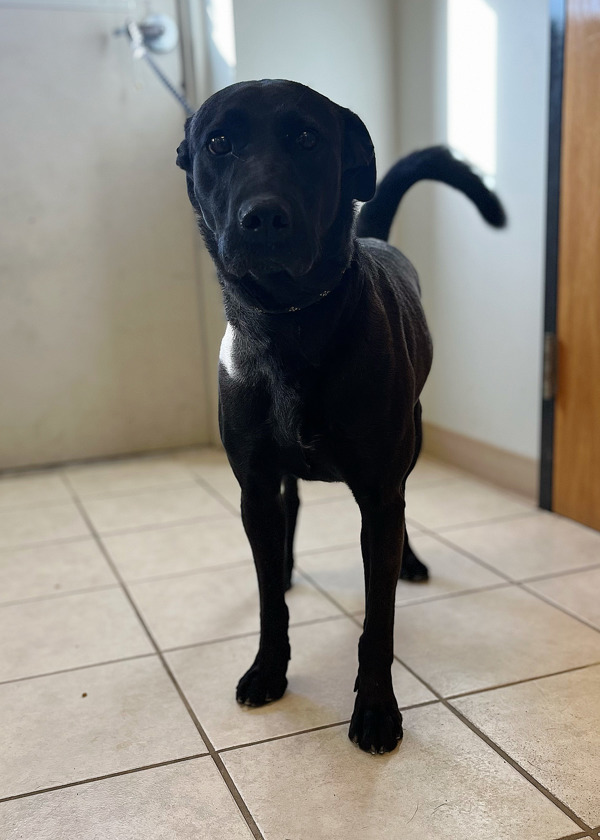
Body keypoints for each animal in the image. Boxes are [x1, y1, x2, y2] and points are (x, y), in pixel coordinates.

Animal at [175, 80, 506, 756]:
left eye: (308, 138)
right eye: (218, 142)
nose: (263, 217)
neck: (291, 323)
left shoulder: (378, 493)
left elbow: (378, 618)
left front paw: (376, 709)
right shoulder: (253, 486)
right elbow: (268, 601)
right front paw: (268, 668)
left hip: (411, 443)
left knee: (401, 517)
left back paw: (409, 562)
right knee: (291, 511)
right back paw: (286, 566)